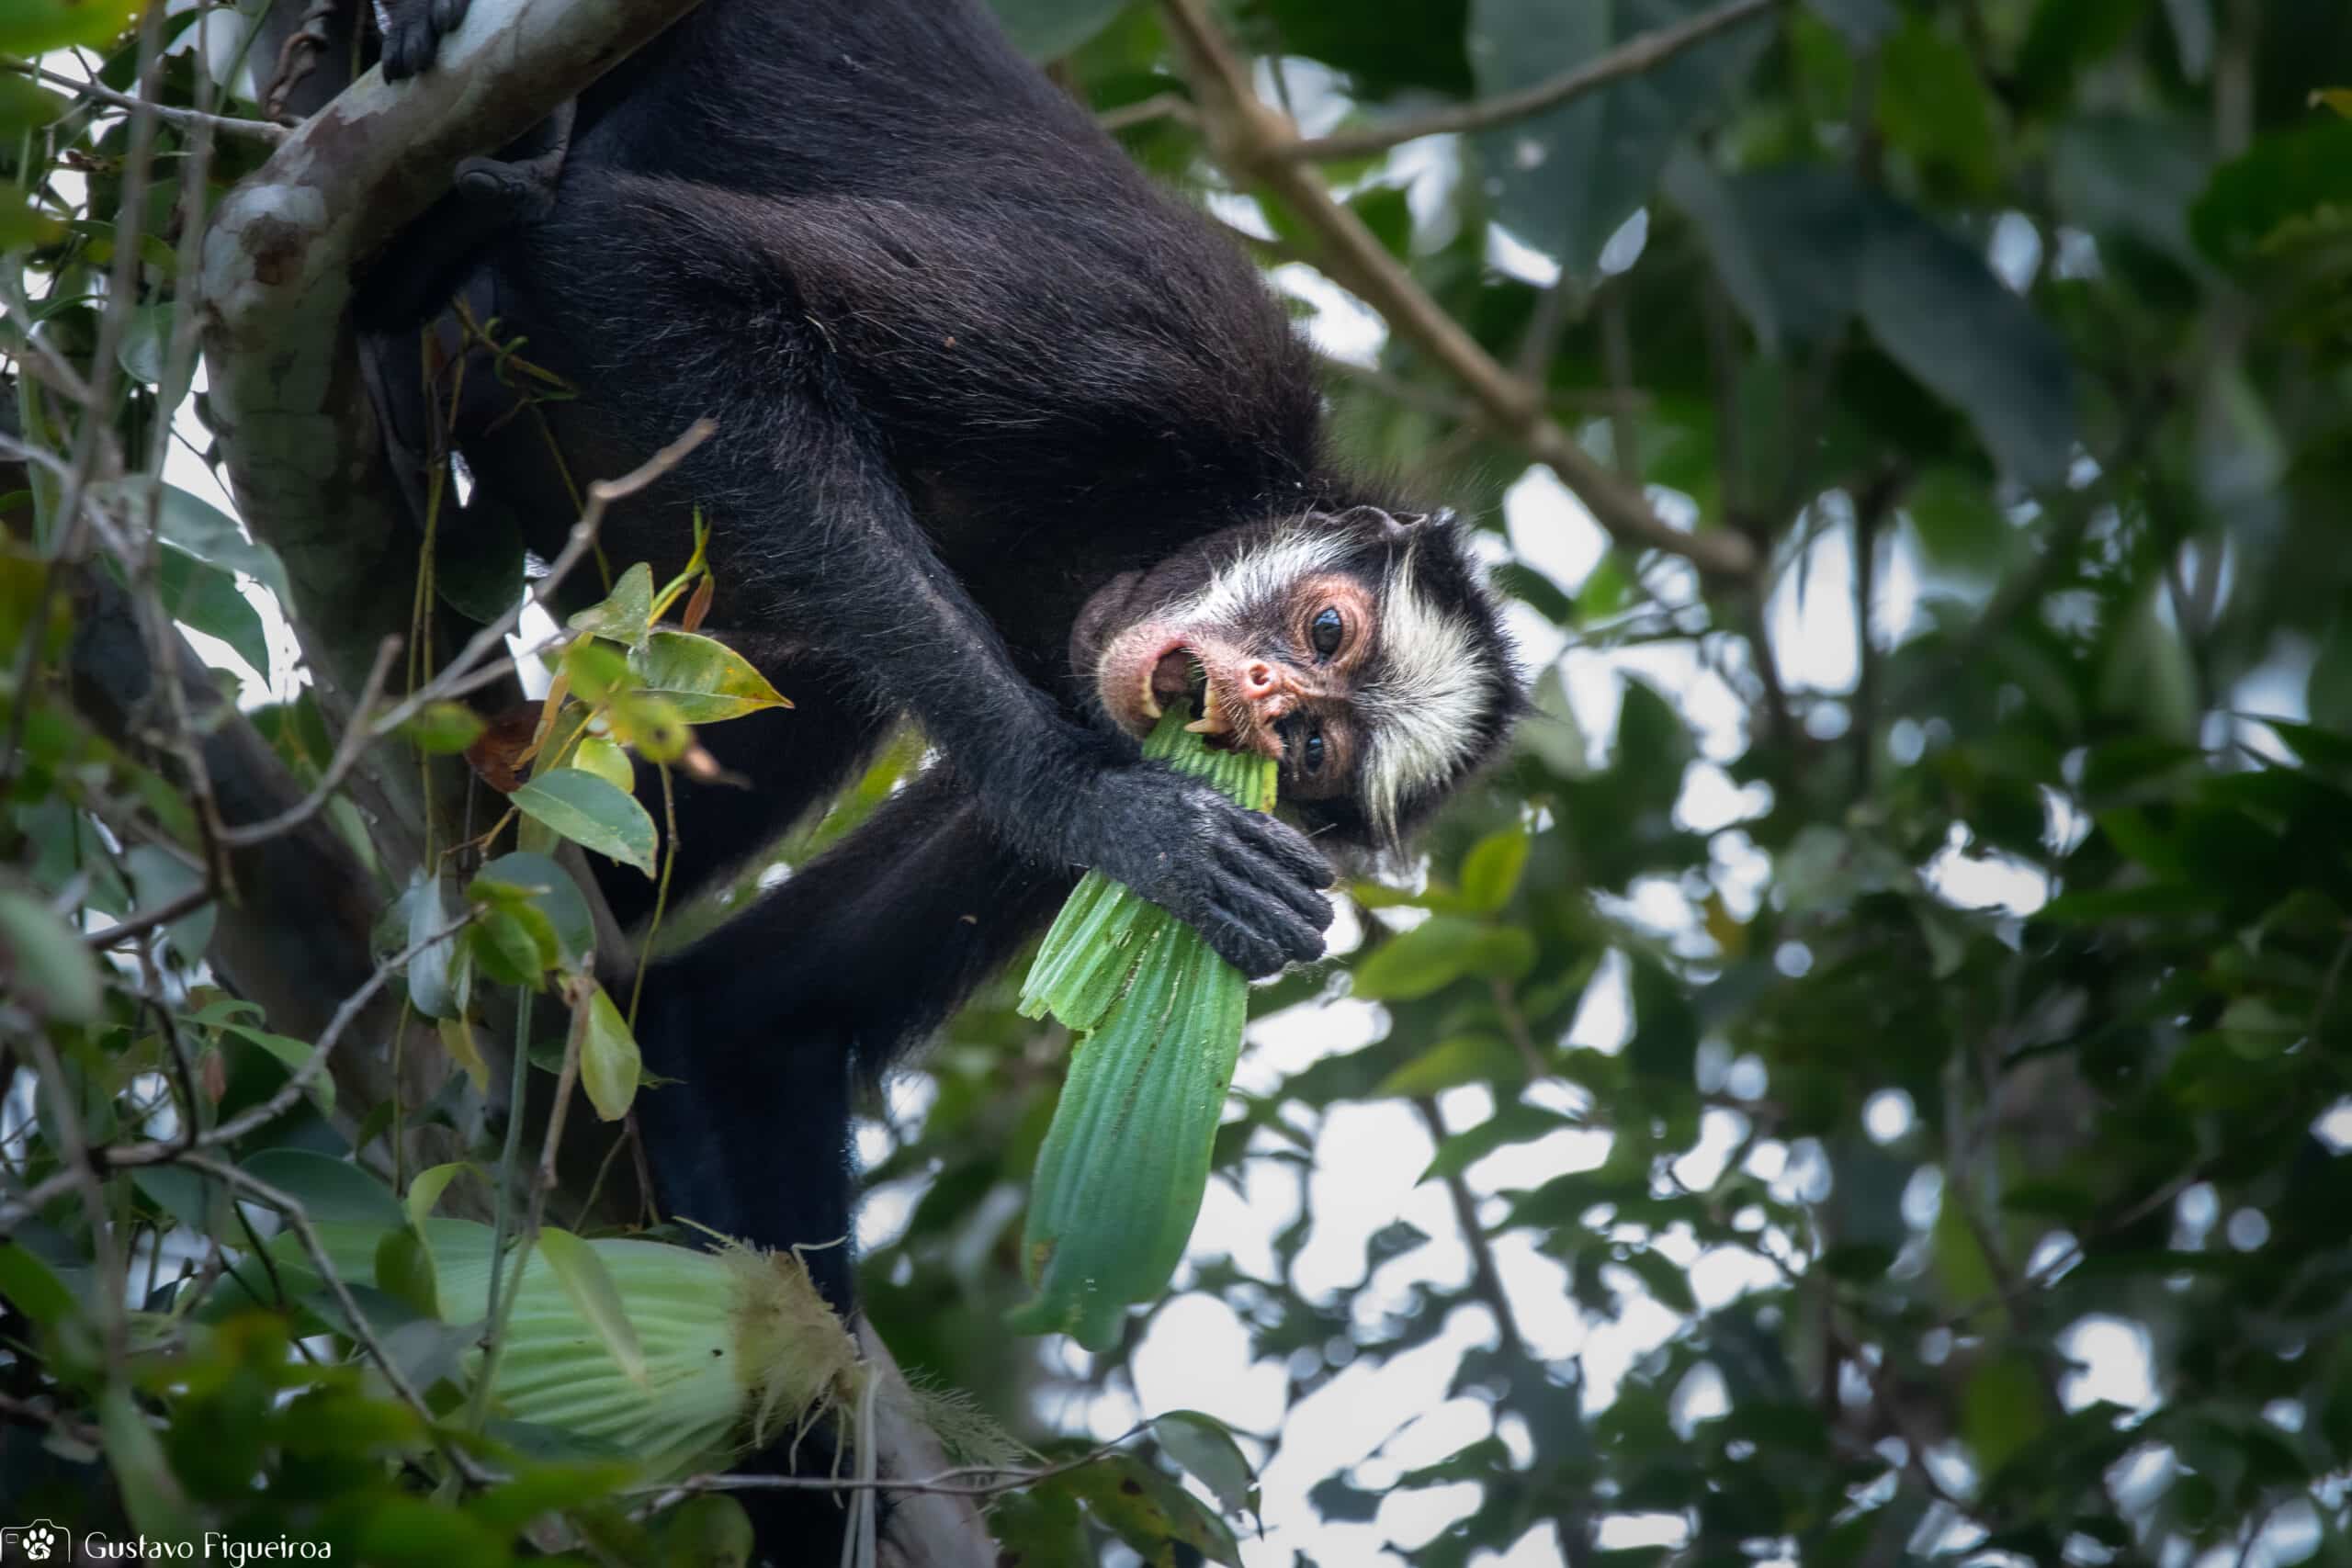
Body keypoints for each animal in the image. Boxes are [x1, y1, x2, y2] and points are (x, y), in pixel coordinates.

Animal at [359, 0, 1514, 1523]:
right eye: (1324, 631)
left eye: (1313, 751)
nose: (1259, 706)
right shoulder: (1155, 359)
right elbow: (641, 252)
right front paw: (1090, 804)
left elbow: (741, 1024)